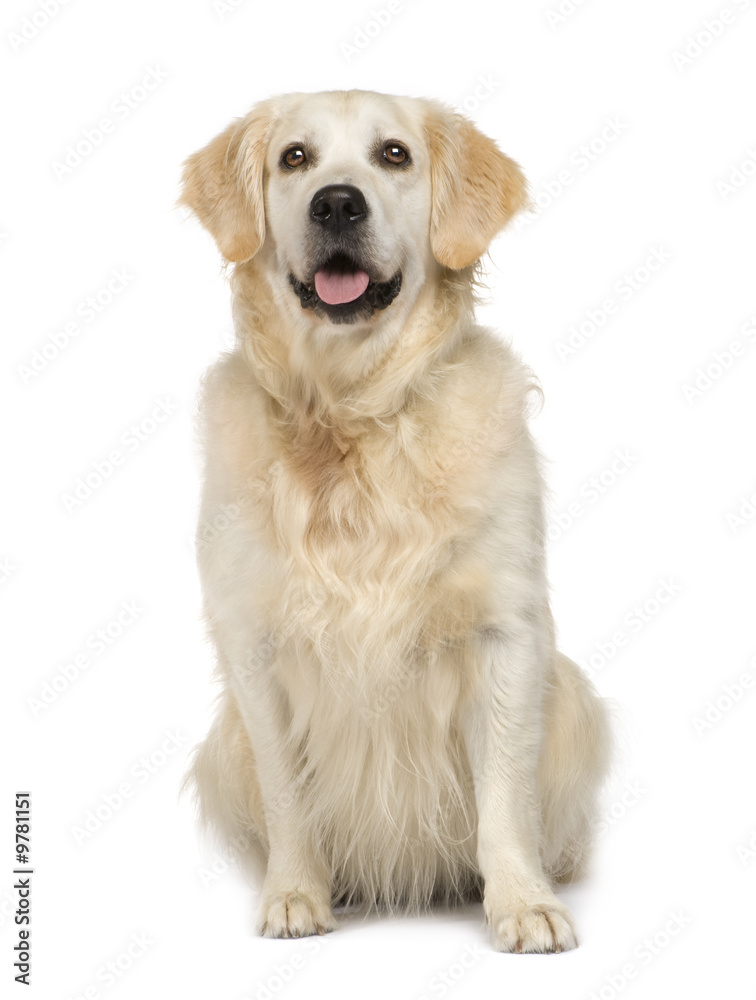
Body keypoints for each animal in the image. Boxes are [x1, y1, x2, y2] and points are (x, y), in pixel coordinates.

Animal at [180, 92, 612, 952]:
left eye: (394, 155)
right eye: (294, 157)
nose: (337, 204)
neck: (352, 419)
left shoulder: (505, 634)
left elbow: (504, 795)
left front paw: (523, 903)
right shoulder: (254, 649)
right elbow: (288, 793)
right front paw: (295, 894)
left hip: (575, 697)